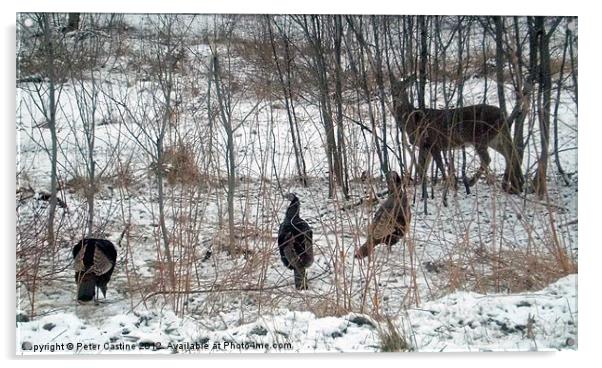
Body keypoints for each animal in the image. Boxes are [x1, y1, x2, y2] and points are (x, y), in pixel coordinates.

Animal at [390, 76, 520, 206]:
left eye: (403, 88)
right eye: (393, 87)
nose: (396, 96)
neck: (412, 121)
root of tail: (503, 114)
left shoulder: (433, 142)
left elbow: (440, 167)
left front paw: (448, 190)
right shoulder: (424, 146)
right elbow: (422, 169)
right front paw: (422, 193)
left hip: (480, 137)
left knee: (489, 158)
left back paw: (472, 182)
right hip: (495, 138)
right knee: (509, 154)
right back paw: (507, 184)